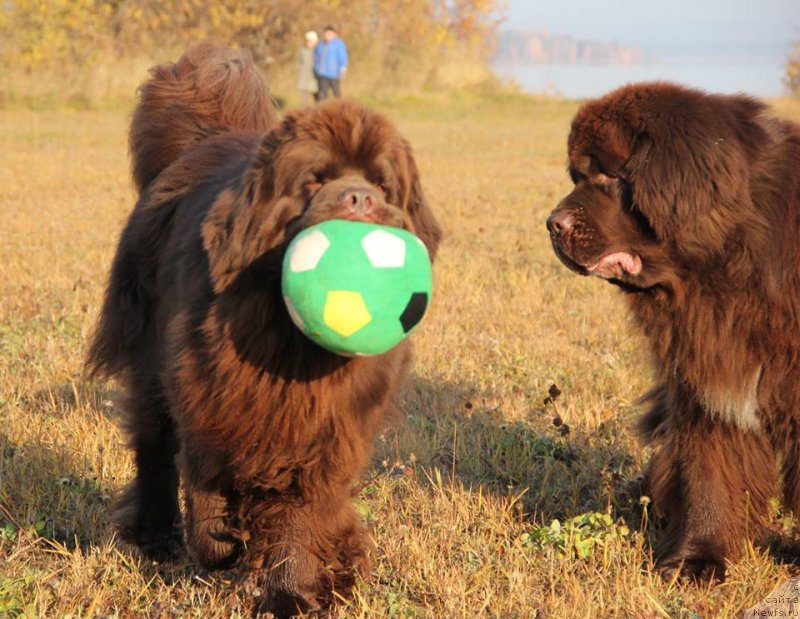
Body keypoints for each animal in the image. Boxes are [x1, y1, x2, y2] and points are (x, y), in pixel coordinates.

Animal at [88, 42, 444, 616]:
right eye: (315, 181)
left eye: (382, 185)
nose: (360, 199)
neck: (292, 347)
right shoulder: (209, 391)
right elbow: (206, 470)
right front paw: (219, 541)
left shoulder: (323, 431)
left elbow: (300, 511)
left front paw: (294, 590)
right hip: (147, 354)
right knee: (155, 442)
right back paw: (159, 535)